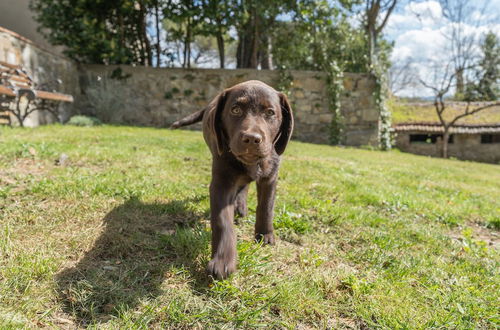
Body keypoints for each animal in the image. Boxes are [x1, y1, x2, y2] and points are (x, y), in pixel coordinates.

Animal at [173, 80, 292, 278]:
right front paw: (222, 260)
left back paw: (241, 206)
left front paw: (265, 235)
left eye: (270, 113)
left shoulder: (270, 176)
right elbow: (223, 222)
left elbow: (266, 207)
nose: (251, 138)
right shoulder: (222, 182)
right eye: (235, 110)